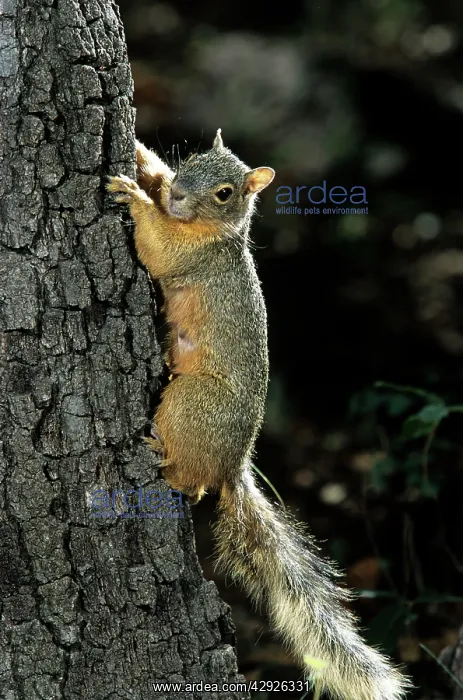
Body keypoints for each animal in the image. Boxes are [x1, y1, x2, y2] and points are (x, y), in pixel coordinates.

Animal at [107, 130, 411, 700]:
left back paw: (160, 457)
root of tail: (233, 465)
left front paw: (134, 197)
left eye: (226, 193)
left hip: (192, 404)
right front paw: (141, 159)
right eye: (194, 159)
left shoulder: (193, 256)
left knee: (190, 482)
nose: (178, 195)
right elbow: (157, 174)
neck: (209, 228)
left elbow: (158, 251)